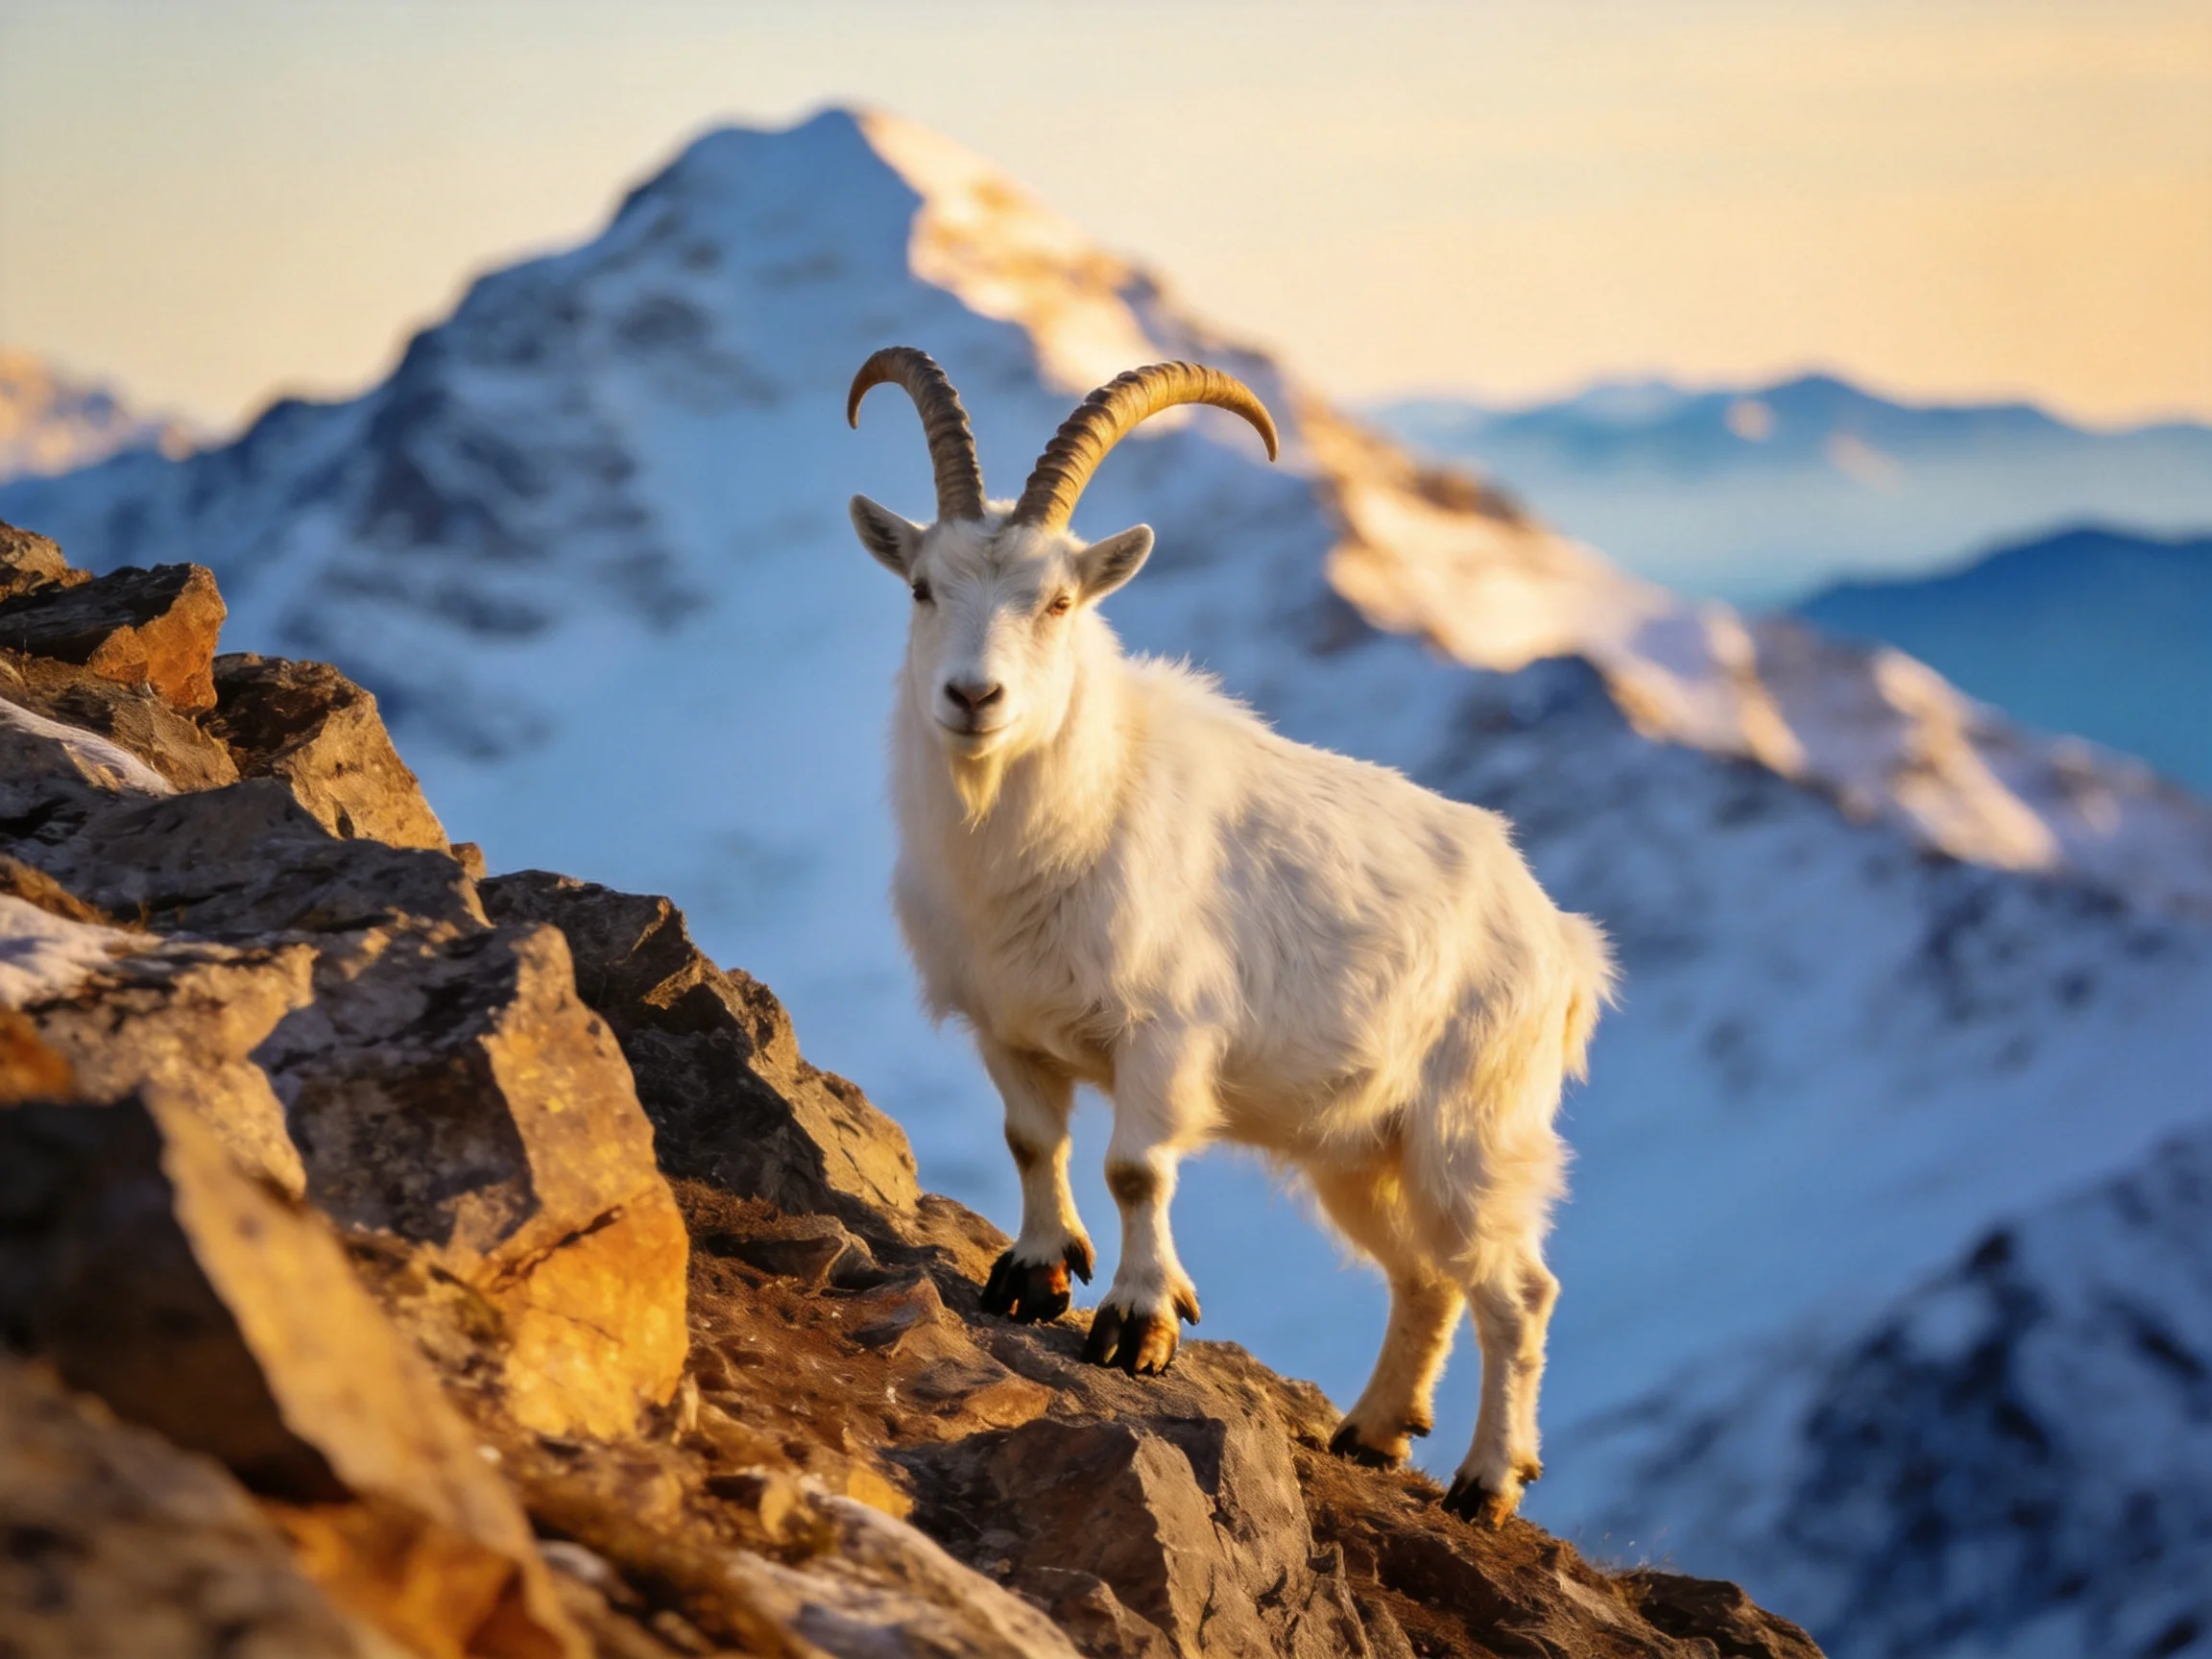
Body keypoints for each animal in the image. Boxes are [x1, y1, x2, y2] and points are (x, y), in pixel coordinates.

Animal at [846, 347, 1615, 1524]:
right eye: (923, 588)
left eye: (1058, 600)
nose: (973, 698)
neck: (1059, 819)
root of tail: (1561, 941)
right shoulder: (1007, 1026)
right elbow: (1033, 1141)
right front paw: (1032, 1277)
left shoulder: (1163, 1037)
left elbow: (1135, 1170)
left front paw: (1137, 1325)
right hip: (1367, 1149)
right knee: (1426, 1276)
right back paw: (1373, 1434)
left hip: (1474, 1131)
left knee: (1519, 1290)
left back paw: (1486, 1482)